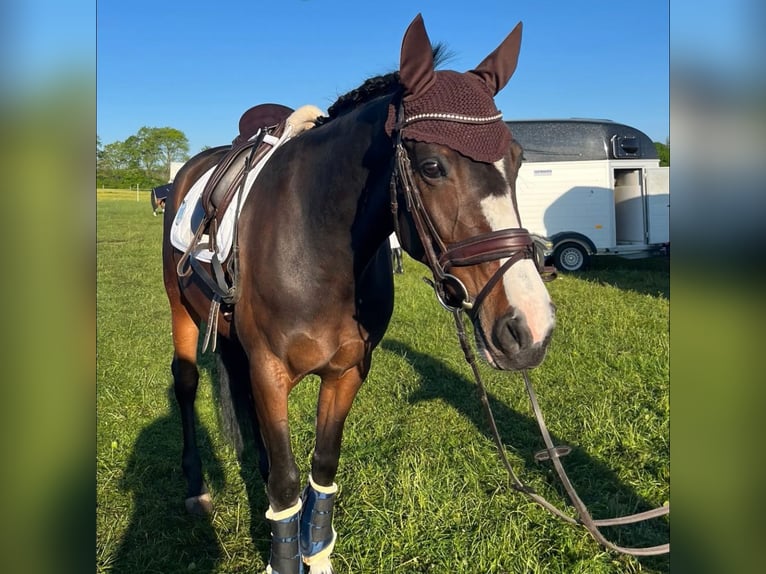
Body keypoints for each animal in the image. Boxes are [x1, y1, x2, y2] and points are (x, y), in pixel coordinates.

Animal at [164, 13, 560, 574]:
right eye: (432, 166)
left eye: (518, 160)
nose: (530, 325)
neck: (316, 243)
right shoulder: (270, 369)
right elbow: (288, 481)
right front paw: (284, 556)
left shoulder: (348, 369)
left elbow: (320, 469)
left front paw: (315, 553)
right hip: (181, 313)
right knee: (186, 385)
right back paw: (197, 487)